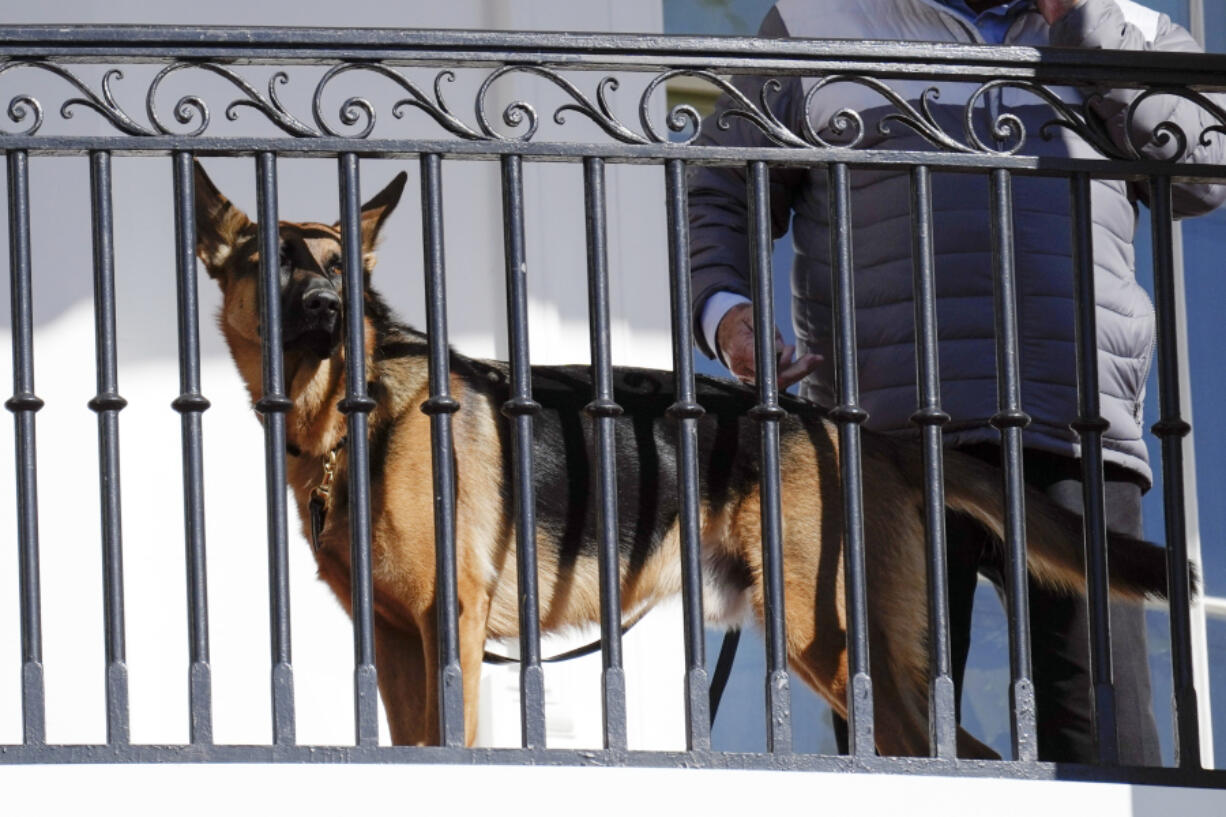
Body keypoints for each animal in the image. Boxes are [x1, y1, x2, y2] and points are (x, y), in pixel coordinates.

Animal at [196, 160, 1172, 755]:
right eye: (270, 262)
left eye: (339, 272)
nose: (326, 310)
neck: (350, 416)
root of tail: (858, 429)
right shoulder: (398, 641)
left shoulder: (450, 626)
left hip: (830, 637)